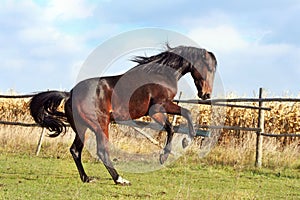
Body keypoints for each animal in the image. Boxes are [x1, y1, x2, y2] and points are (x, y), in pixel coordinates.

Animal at [29, 45, 217, 186]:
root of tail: (70, 94)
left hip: (82, 128)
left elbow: (174, 124)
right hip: (101, 125)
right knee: (101, 151)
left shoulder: (158, 110)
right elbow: (181, 118)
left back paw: (87, 178)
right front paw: (177, 147)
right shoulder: (158, 107)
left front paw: (170, 152)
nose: (206, 95)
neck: (161, 74)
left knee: (75, 150)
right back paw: (120, 179)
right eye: (209, 68)